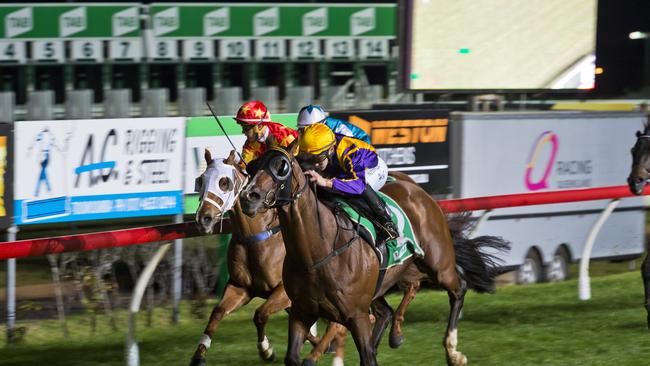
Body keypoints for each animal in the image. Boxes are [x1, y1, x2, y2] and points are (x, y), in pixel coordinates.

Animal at [187, 150, 420, 364]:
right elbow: (218, 312)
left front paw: (267, 350)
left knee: (411, 285)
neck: (259, 237)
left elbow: (261, 314)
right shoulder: (241, 287)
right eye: (200, 180)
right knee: (381, 310)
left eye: (224, 182)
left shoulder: (284, 292)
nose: (203, 218)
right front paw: (198, 355)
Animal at [238, 144, 506, 364]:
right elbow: (293, 357)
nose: (248, 197)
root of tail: (420, 191)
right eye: (252, 165)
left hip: (438, 264)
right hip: (381, 283)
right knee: (387, 312)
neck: (316, 254)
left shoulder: (356, 315)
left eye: (281, 166)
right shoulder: (302, 312)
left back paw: (453, 351)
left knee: (458, 289)